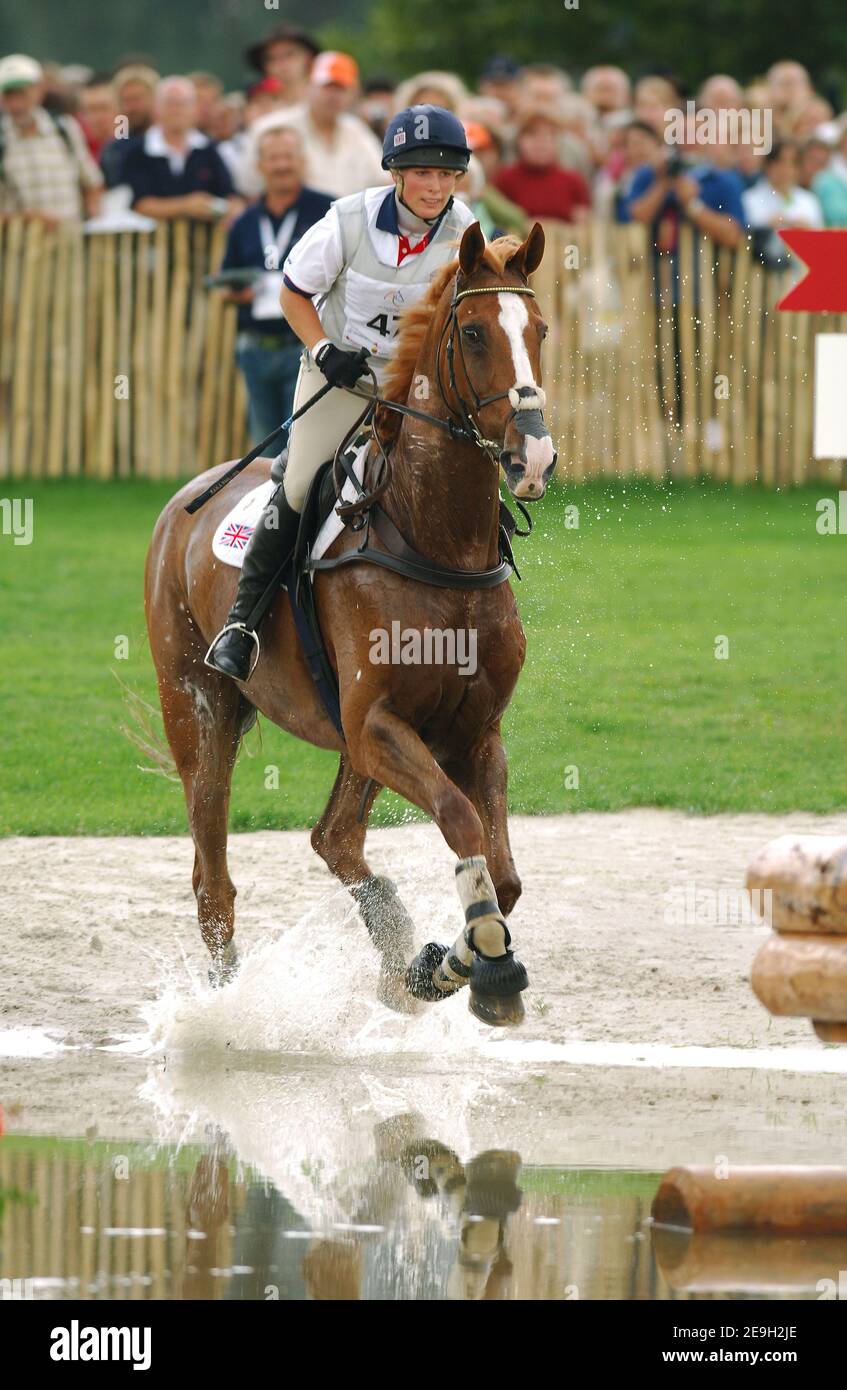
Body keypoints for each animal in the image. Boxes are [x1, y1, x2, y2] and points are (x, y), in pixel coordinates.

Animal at [143, 216, 556, 1023]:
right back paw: (225, 1005)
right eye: (472, 333)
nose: (535, 456)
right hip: (198, 709)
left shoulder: (468, 730)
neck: (437, 539)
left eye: (540, 330)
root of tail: (184, 499)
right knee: (213, 874)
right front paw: (483, 964)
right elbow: (461, 822)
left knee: (333, 838)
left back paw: (397, 954)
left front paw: (445, 965)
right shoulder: (376, 724)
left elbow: (504, 873)